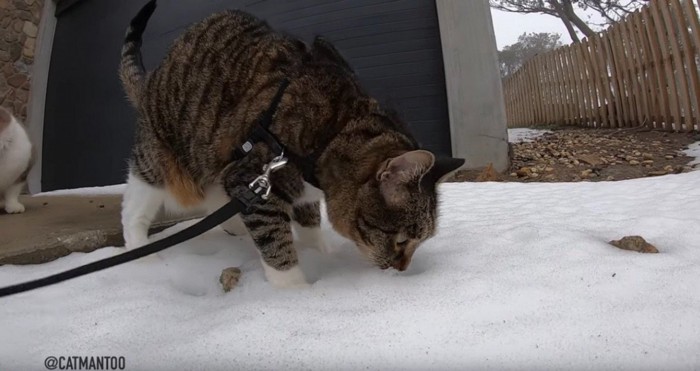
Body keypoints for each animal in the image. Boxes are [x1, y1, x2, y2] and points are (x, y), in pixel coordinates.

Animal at [120, 0, 464, 290]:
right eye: (402, 240)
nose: (401, 269)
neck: (334, 130)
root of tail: (152, 78)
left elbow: (309, 221)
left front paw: (321, 254)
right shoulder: (252, 178)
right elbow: (276, 241)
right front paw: (296, 292)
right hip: (160, 159)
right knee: (135, 205)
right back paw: (143, 254)